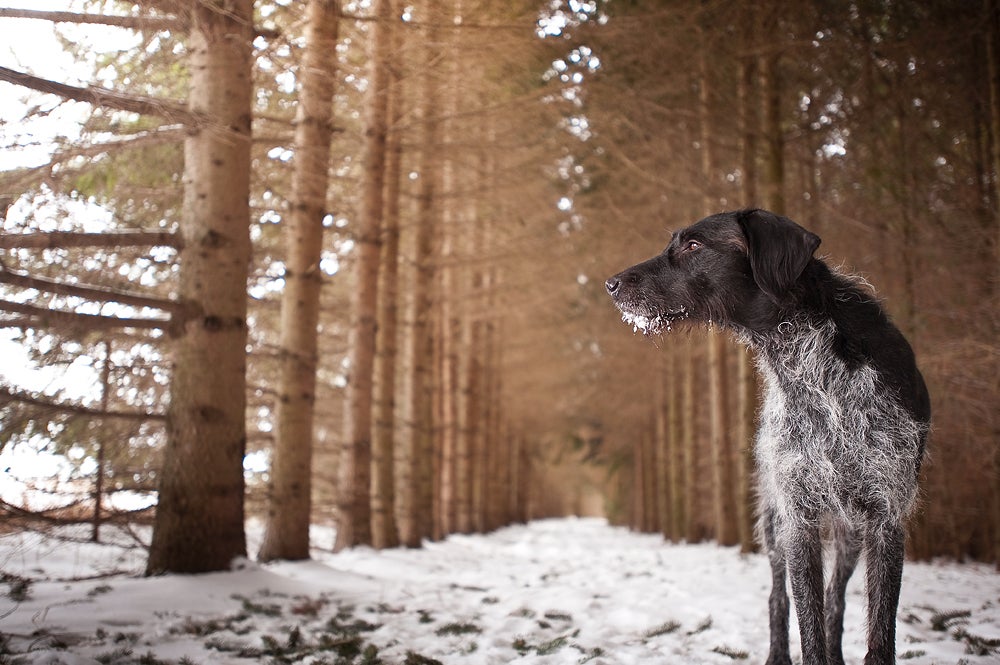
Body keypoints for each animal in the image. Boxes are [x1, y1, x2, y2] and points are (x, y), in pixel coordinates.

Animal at [604, 209, 932, 664]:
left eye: (693, 245)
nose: (611, 284)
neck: (811, 365)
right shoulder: (798, 517)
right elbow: (807, 628)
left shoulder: (886, 516)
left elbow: (878, 634)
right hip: (775, 524)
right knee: (779, 598)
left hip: (850, 533)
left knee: (835, 597)